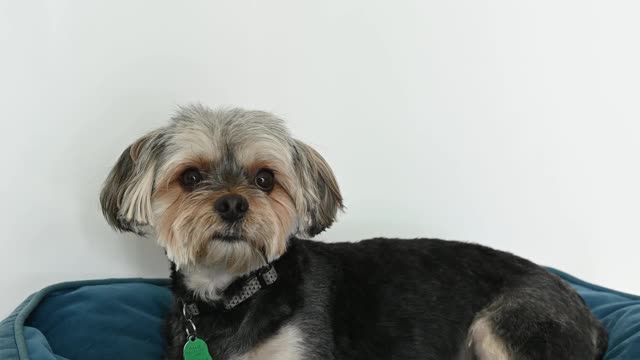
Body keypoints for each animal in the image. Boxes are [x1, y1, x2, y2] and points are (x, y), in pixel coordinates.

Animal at [99, 105, 604, 360]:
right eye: (190, 178)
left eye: (265, 179)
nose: (233, 204)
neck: (234, 294)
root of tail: (588, 313)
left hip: (509, 326)